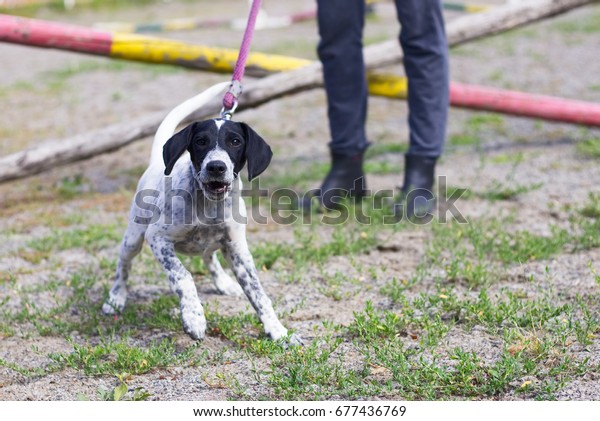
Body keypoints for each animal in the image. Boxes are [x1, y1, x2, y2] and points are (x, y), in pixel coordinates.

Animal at [103, 83, 302, 344]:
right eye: (200, 141)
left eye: (235, 141)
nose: (216, 167)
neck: (208, 205)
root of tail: (156, 163)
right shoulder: (157, 238)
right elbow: (183, 276)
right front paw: (193, 316)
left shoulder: (238, 248)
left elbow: (258, 293)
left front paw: (278, 331)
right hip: (134, 238)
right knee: (123, 267)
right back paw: (116, 298)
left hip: (217, 244)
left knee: (210, 258)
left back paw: (224, 283)